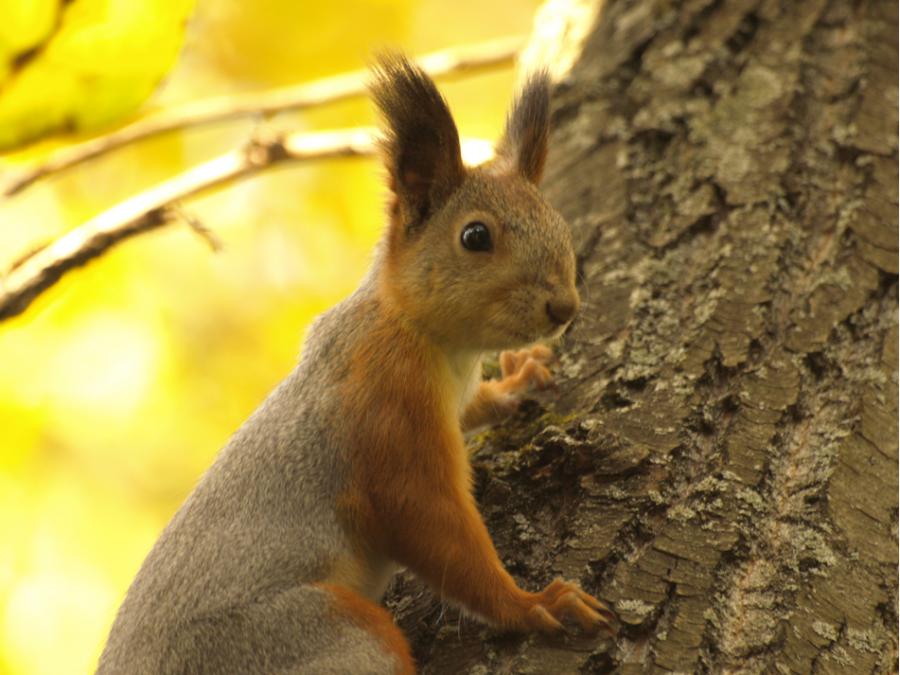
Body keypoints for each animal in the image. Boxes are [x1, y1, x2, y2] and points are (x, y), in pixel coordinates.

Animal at [100, 55, 620, 675]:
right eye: (475, 236)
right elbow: (432, 526)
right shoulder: (387, 408)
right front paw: (532, 604)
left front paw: (516, 380)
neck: (431, 340)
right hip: (313, 632)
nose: (564, 308)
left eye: (559, 224)